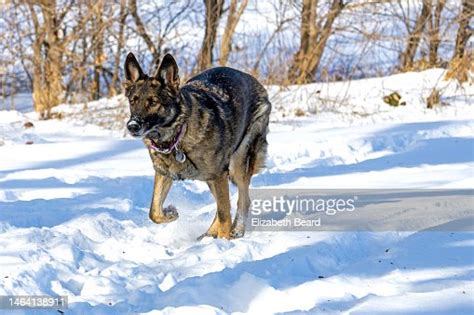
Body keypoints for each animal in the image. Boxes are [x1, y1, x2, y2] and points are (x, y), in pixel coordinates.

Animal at [122, 53, 270, 239]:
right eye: (133, 101)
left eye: (153, 102)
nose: (132, 126)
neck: (178, 135)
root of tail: (252, 79)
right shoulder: (164, 174)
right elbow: (154, 211)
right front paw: (170, 213)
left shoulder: (219, 175)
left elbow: (225, 214)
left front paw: (224, 241)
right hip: (212, 177)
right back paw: (208, 234)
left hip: (237, 164)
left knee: (242, 201)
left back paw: (235, 231)